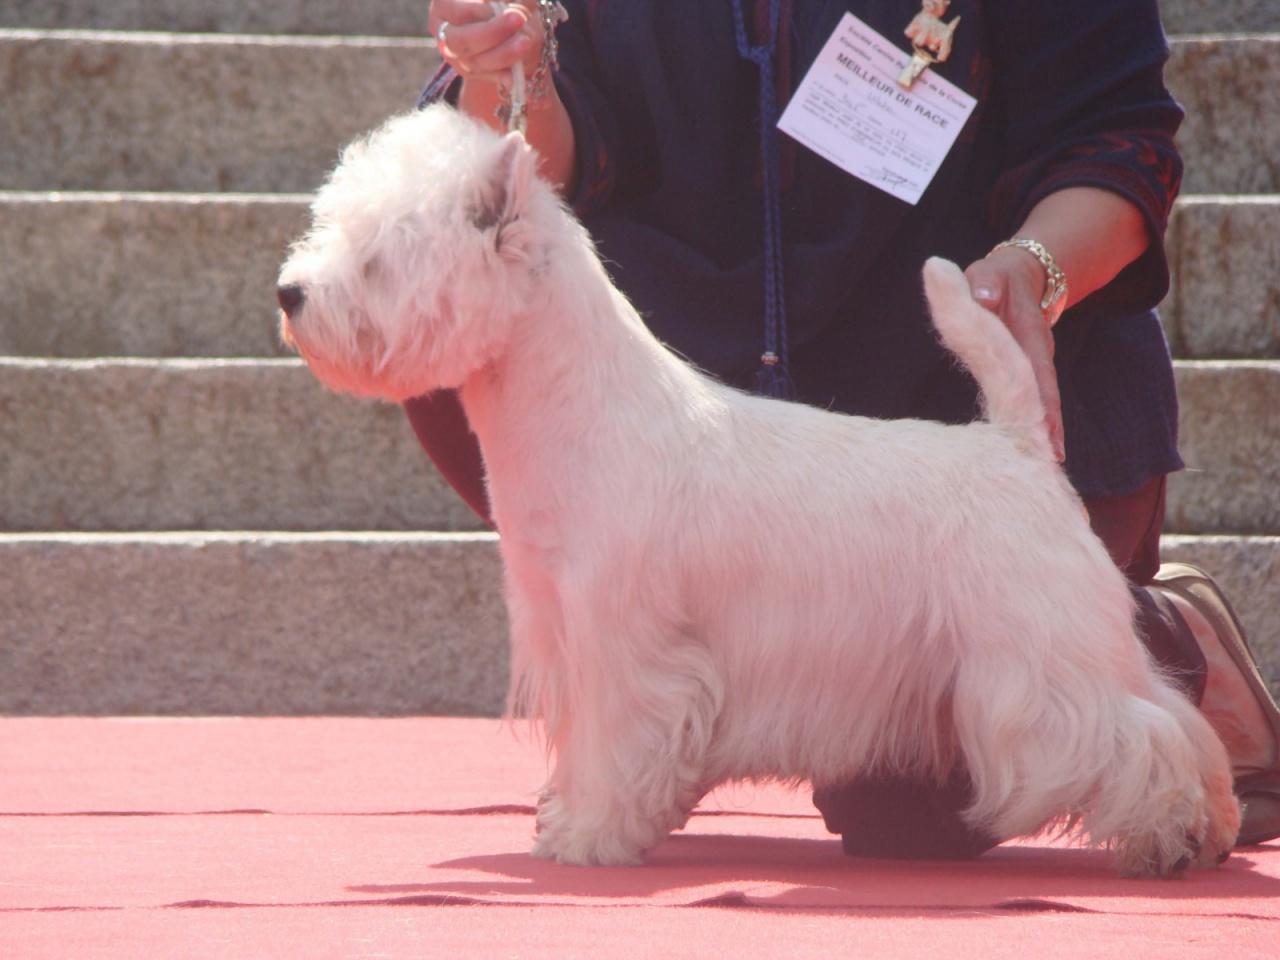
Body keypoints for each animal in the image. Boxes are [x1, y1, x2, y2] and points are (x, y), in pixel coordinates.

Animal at [280, 104, 1239, 880]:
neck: (580, 412)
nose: (290, 293)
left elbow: (615, 741)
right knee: (1171, 714)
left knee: (1138, 731)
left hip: (1035, 661)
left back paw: (1171, 837)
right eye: (330, 225)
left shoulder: (625, 646)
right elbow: (587, 740)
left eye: (379, 255)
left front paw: (590, 836)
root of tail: (1017, 443)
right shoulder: (567, 629)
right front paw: (573, 823)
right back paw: (1218, 820)